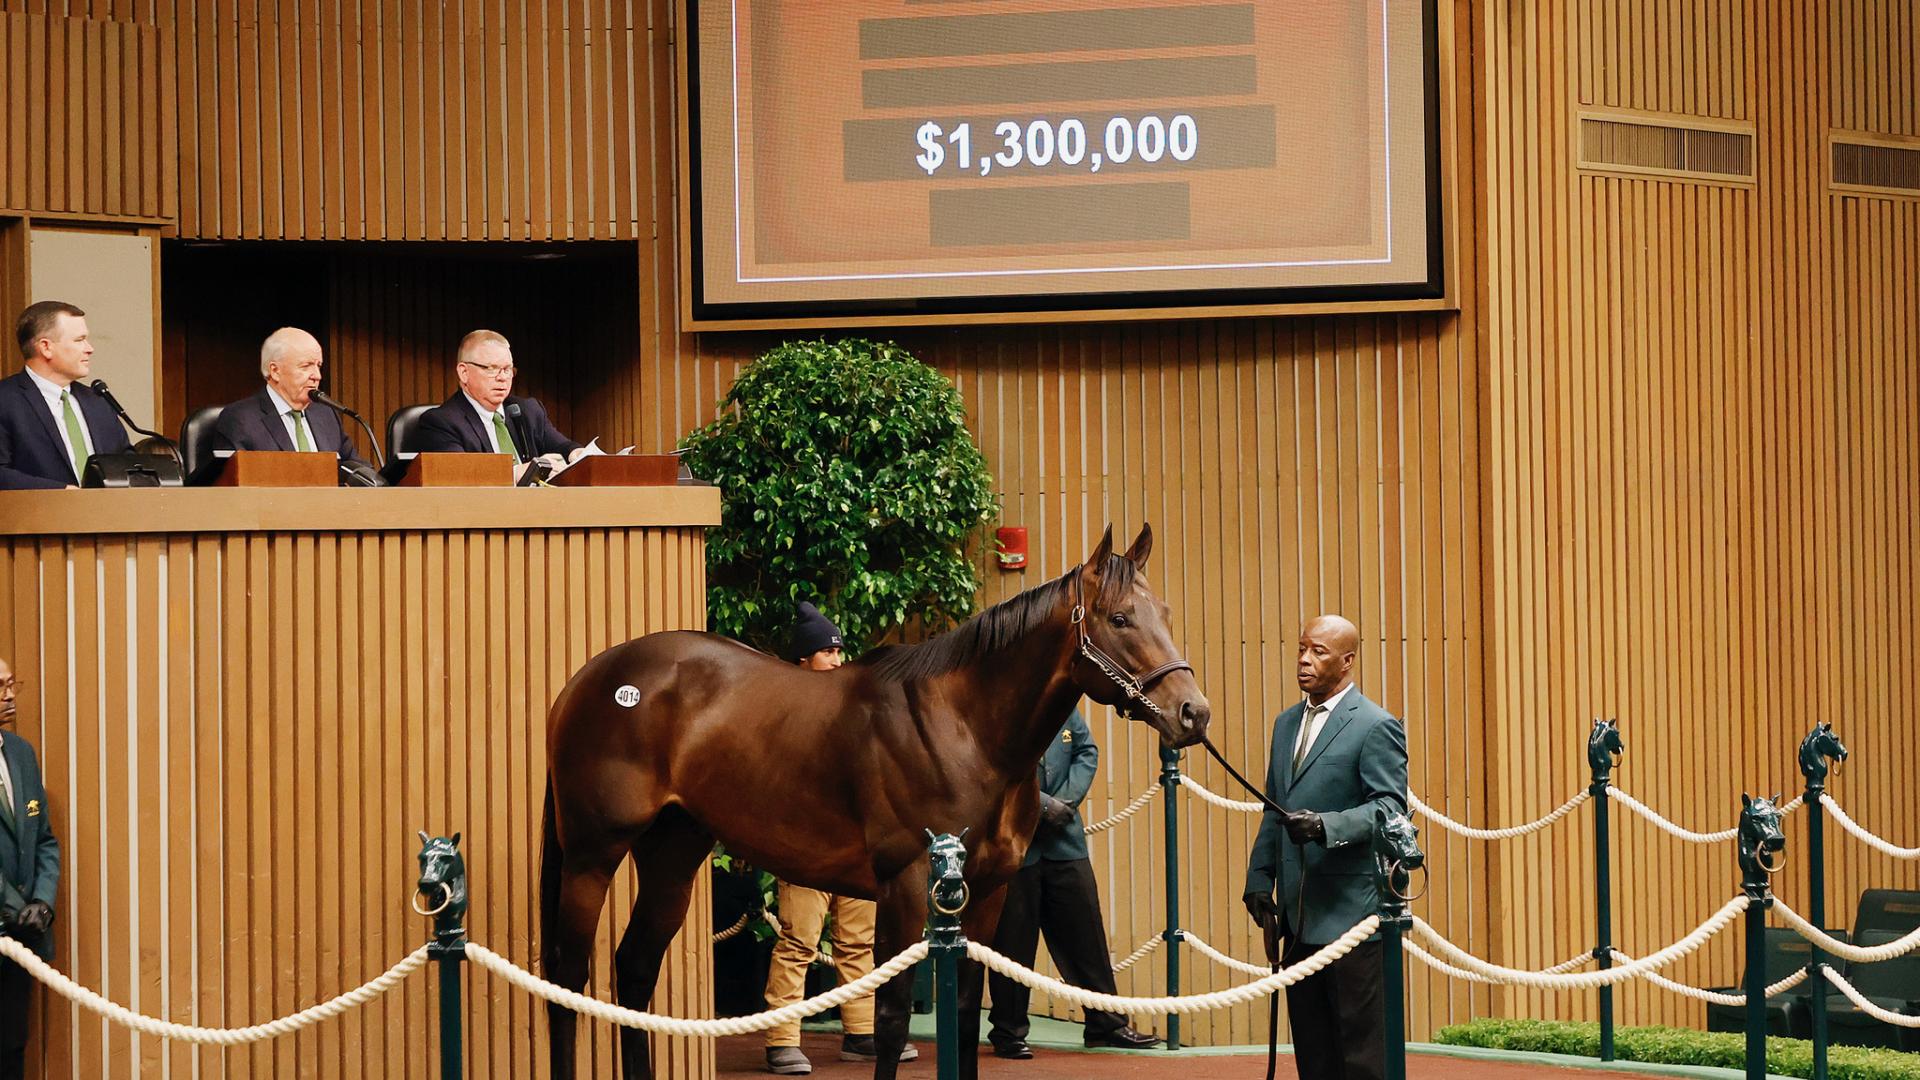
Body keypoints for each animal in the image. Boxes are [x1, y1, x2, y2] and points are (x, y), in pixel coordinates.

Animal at [539, 524, 1210, 1079]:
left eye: (1166, 612)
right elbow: (890, 1019)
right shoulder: (907, 886)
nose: (1193, 713)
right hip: (593, 853)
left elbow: (965, 1015)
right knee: (567, 978)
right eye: (1120, 619)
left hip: (673, 853)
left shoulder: (986, 894)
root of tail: (588, 679)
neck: (964, 727)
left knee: (634, 970)